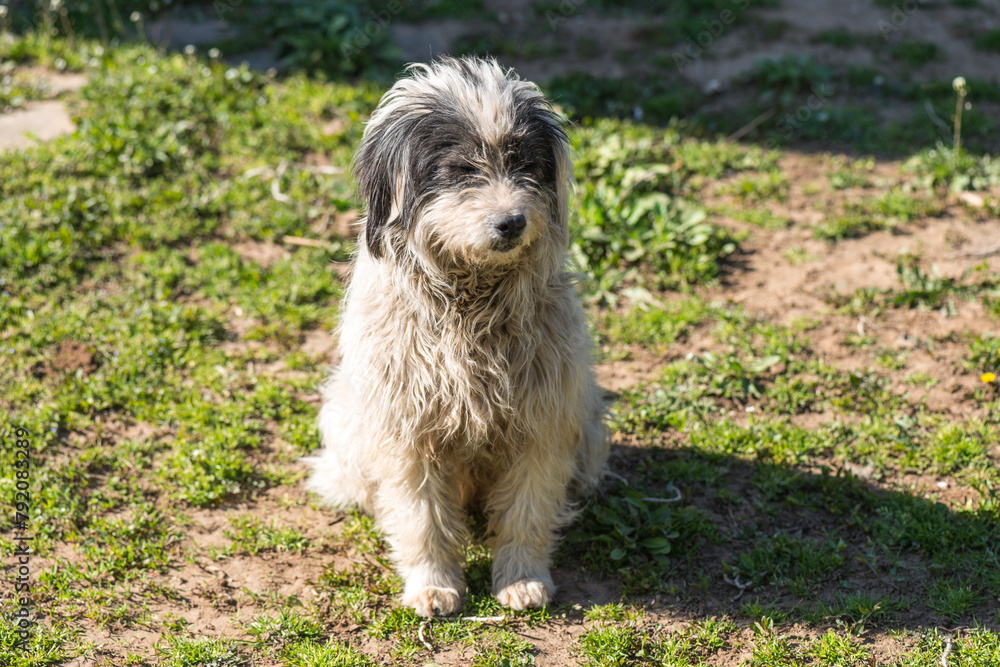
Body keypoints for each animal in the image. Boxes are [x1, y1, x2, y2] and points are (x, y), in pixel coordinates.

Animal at [304, 57, 604, 620]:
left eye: (524, 163)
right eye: (463, 170)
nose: (512, 222)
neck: (471, 304)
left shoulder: (544, 422)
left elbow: (528, 511)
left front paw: (522, 577)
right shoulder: (407, 433)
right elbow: (422, 518)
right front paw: (433, 584)